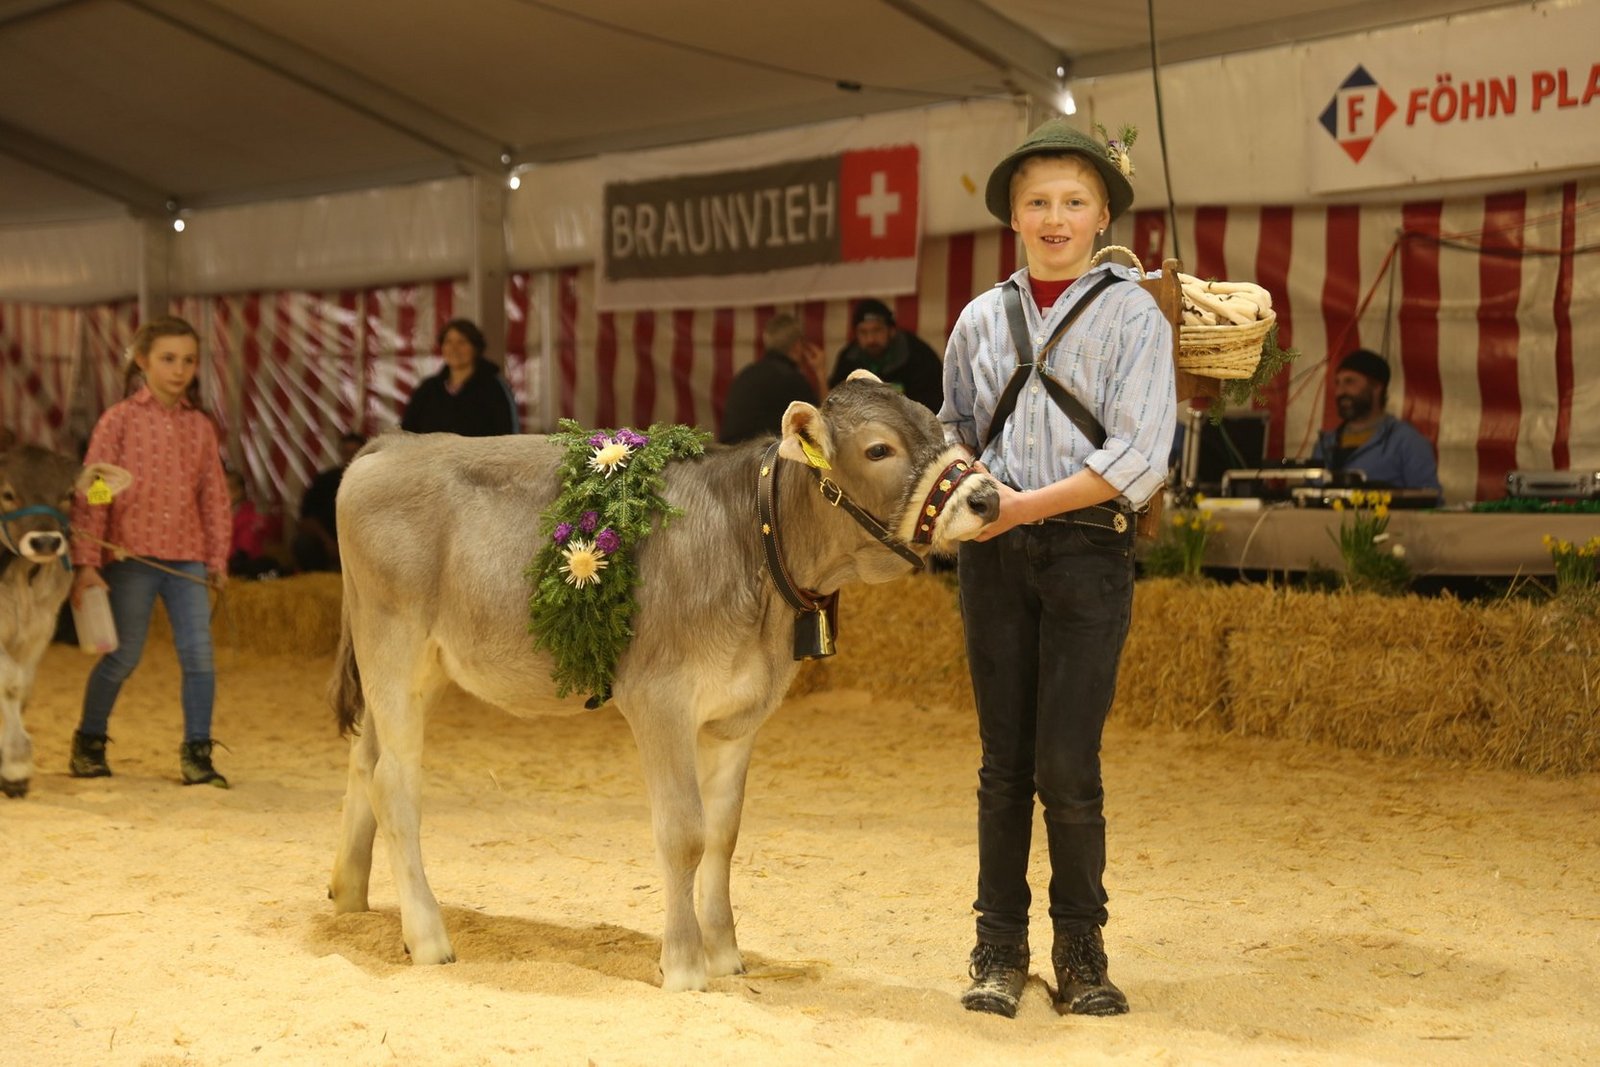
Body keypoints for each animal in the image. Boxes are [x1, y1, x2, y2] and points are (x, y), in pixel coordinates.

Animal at [1, 445, 131, 797]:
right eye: (7, 493)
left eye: (70, 494)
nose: (45, 542)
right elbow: (9, 682)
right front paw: (15, 763)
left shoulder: (40, 626)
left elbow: (22, 687)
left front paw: (12, 769)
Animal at [328, 374, 1000, 991]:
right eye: (879, 449)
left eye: (938, 425)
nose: (987, 498)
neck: (750, 541)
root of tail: (393, 444)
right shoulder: (659, 701)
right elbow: (683, 834)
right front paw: (683, 965)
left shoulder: (737, 715)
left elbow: (723, 835)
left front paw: (725, 954)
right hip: (393, 646)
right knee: (394, 782)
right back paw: (427, 935)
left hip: (419, 670)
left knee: (365, 759)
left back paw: (350, 895)